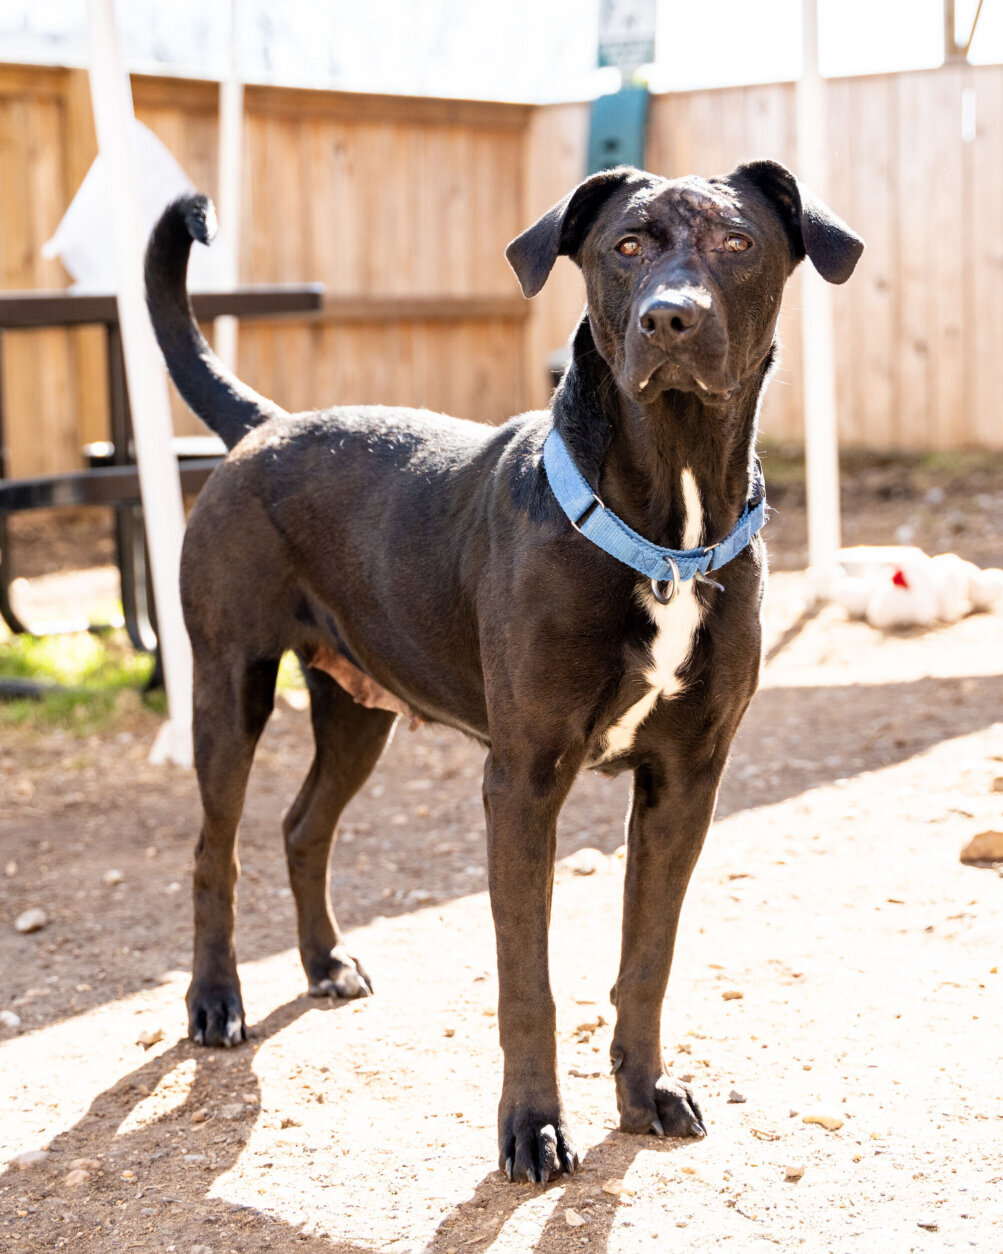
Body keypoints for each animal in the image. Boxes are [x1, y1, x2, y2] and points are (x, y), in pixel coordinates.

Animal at [145, 159, 862, 1184]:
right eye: (626, 244)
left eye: (738, 242)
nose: (670, 320)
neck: (664, 528)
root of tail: (265, 426)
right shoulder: (522, 781)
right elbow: (529, 982)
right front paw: (532, 1128)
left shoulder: (685, 781)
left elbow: (647, 959)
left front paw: (643, 1092)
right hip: (227, 685)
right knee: (216, 848)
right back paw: (214, 1002)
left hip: (358, 709)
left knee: (301, 827)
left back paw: (324, 965)